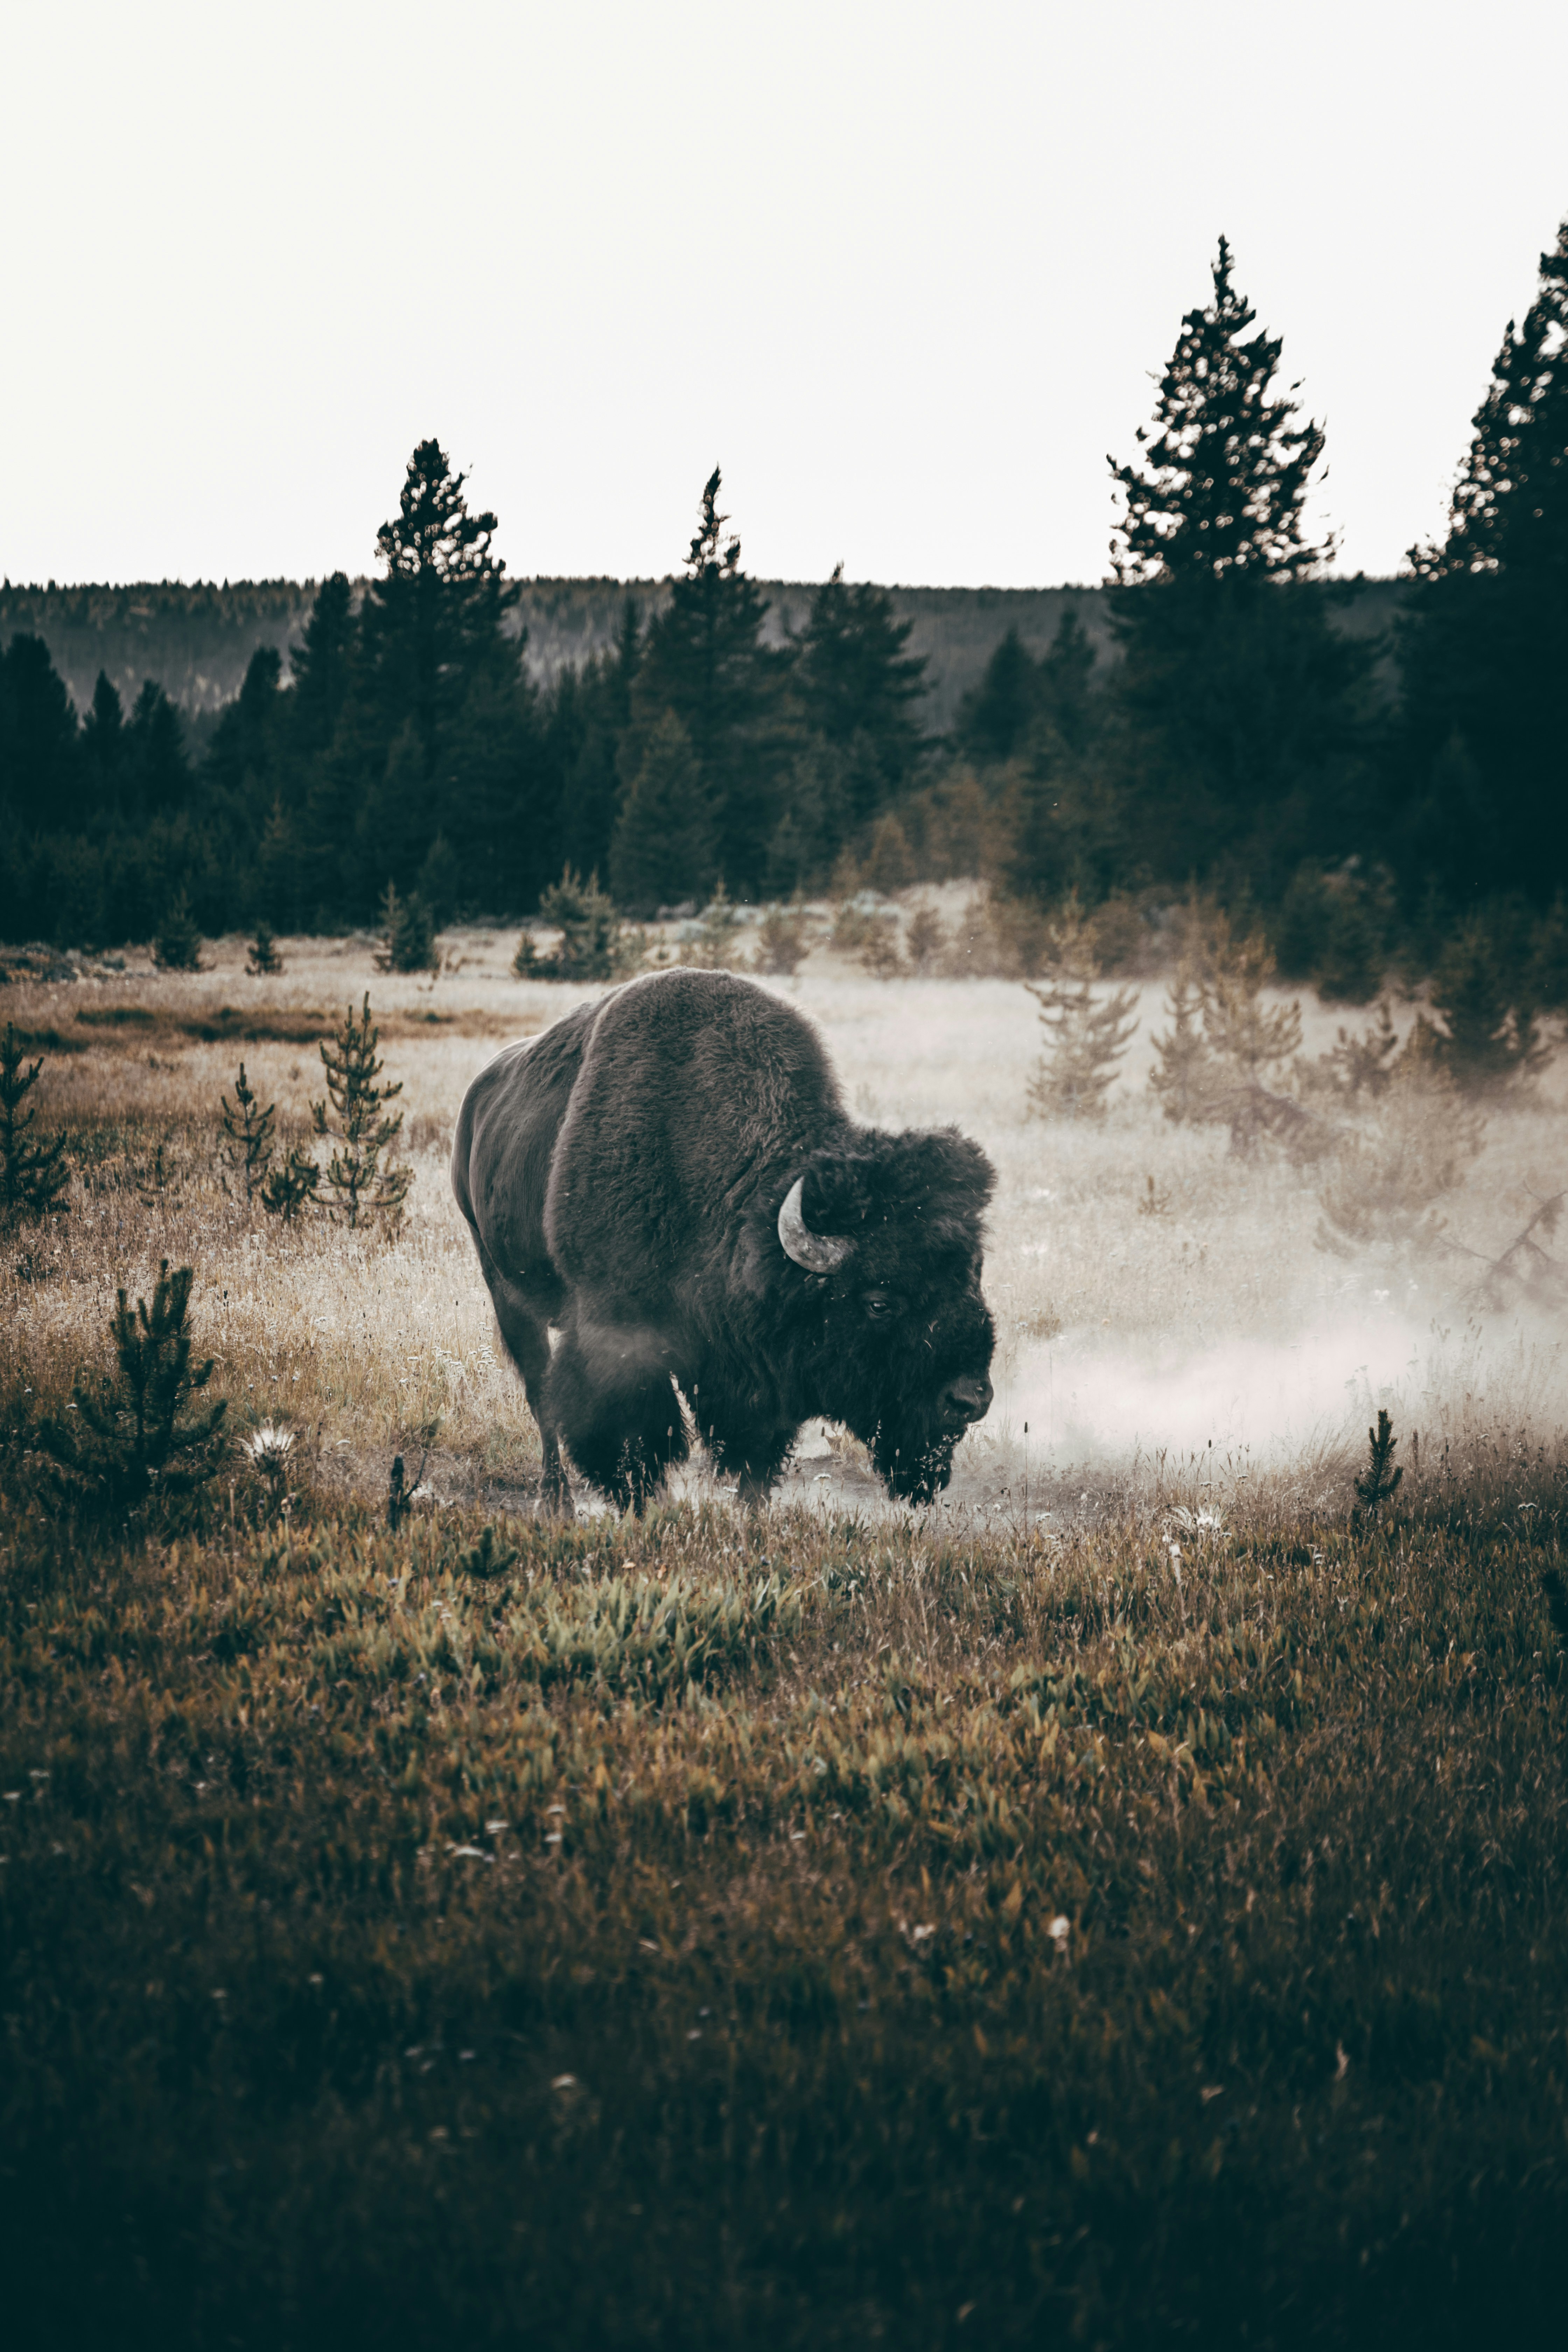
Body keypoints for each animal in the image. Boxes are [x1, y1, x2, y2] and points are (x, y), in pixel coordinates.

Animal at [451, 967, 995, 1512]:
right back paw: (557, 1502)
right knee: (541, 1396)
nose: (970, 1399)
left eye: (972, 1277)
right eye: (879, 1303)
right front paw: (641, 1507)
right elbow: (632, 1440)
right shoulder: (618, 1338)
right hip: (505, 1289)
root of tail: (476, 1103)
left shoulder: (752, 1375)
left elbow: (755, 1455)